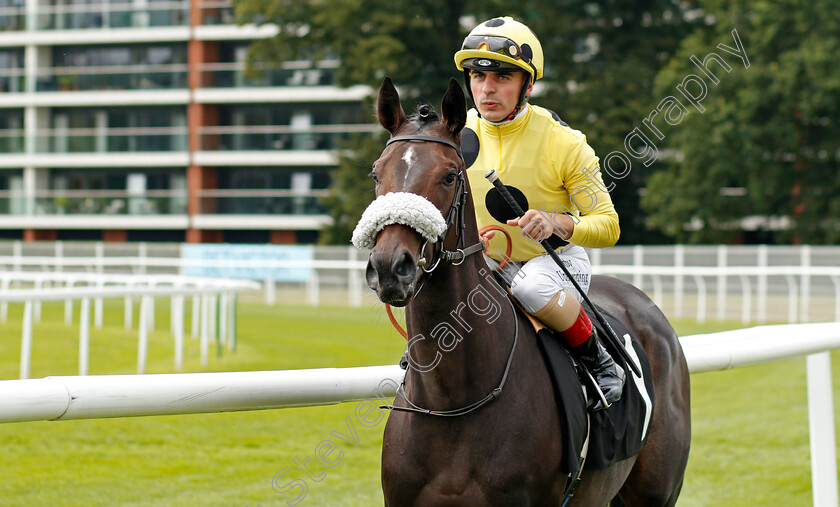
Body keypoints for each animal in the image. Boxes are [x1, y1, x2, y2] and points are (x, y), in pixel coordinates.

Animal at [360, 77, 688, 506]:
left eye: (449, 175)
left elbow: (604, 216)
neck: (452, 403)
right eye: (376, 173)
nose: (389, 267)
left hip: (655, 492)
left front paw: (539, 222)